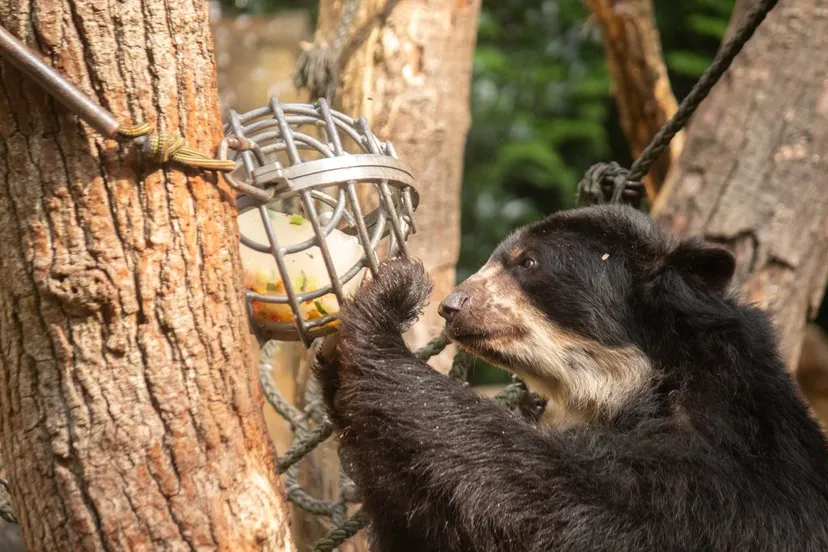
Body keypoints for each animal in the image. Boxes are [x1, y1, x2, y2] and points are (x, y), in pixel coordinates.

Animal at [314, 205, 828, 548]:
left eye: (528, 262)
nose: (451, 306)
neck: (643, 383)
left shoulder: (712, 480)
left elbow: (553, 495)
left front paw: (384, 305)